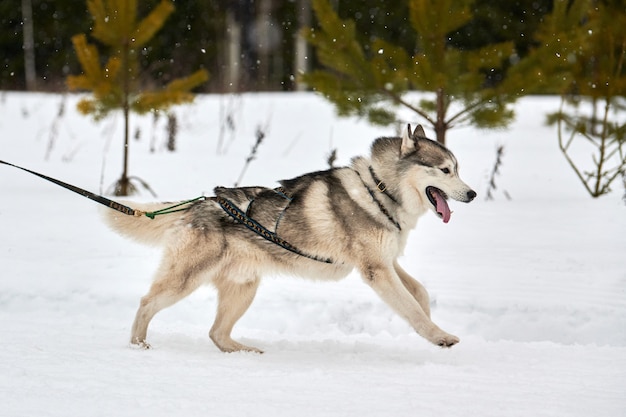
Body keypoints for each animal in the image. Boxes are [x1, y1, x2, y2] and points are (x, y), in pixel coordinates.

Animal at [106, 123, 472, 352]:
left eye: (457, 168)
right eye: (445, 170)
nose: (473, 194)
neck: (379, 189)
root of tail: (199, 204)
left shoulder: (387, 261)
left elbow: (418, 294)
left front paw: (430, 324)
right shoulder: (376, 270)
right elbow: (410, 307)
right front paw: (438, 336)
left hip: (243, 289)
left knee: (216, 333)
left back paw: (244, 351)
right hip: (185, 280)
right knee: (146, 303)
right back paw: (139, 345)